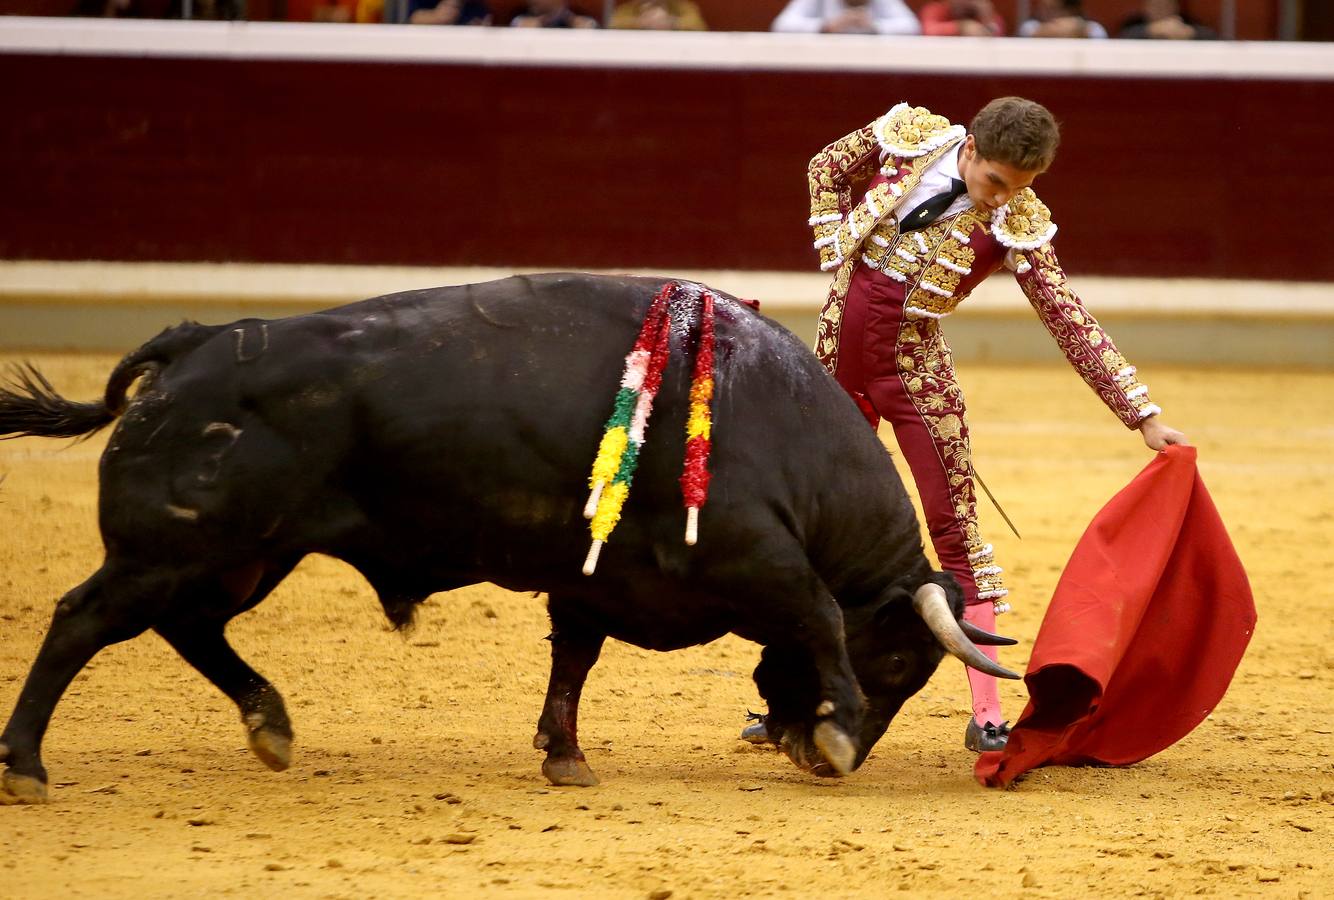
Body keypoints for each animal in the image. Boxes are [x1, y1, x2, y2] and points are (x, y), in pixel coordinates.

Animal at [0, 273, 1008, 805]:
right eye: (896, 666)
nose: (829, 756)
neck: (784, 430)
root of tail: (195, 338)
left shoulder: (597, 578)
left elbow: (574, 659)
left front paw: (565, 755)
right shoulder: (755, 558)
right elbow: (821, 617)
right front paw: (836, 731)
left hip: (242, 554)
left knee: (189, 627)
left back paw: (271, 726)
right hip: (174, 549)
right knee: (82, 620)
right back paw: (25, 766)